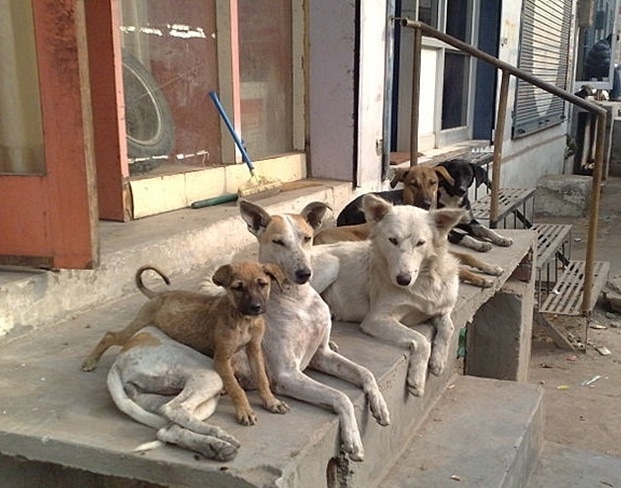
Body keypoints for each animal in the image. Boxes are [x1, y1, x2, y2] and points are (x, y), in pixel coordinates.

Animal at [80, 262, 290, 426]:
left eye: (262, 284)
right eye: (238, 287)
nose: (256, 307)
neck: (242, 320)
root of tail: (158, 295)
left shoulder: (254, 350)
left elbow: (262, 378)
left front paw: (271, 401)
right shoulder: (221, 358)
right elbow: (236, 388)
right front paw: (244, 411)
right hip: (136, 326)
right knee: (110, 335)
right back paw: (90, 361)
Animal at [108, 328, 239, 462]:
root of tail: (117, 363)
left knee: (168, 428)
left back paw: (216, 447)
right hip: (208, 376)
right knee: (173, 409)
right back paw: (220, 437)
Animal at [312, 194, 462, 396]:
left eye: (420, 243)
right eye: (393, 240)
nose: (403, 279)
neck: (423, 282)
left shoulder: (439, 308)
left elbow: (448, 327)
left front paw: (439, 361)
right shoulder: (376, 318)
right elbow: (421, 339)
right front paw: (417, 379)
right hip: (330, 267)